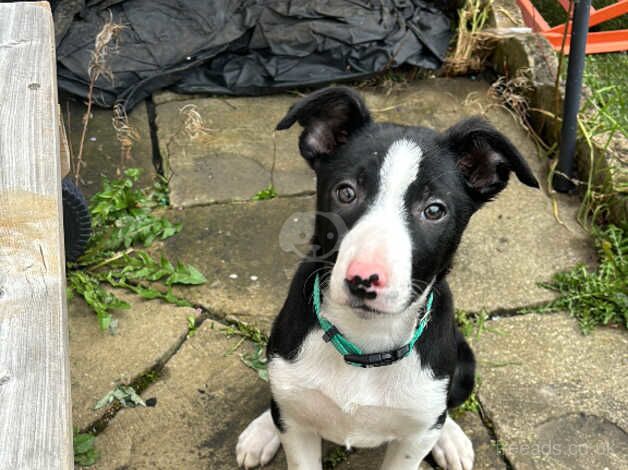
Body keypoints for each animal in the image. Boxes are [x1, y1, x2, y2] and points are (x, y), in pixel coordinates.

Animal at [233, 86, 536, 468]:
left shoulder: (412, 440)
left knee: (445, 409)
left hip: (465, 365)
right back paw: (264, 428)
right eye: (346, 192)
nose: (363, 280)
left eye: (434, 210)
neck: (365, 343)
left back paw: (449, 437)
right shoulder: (298, 431)